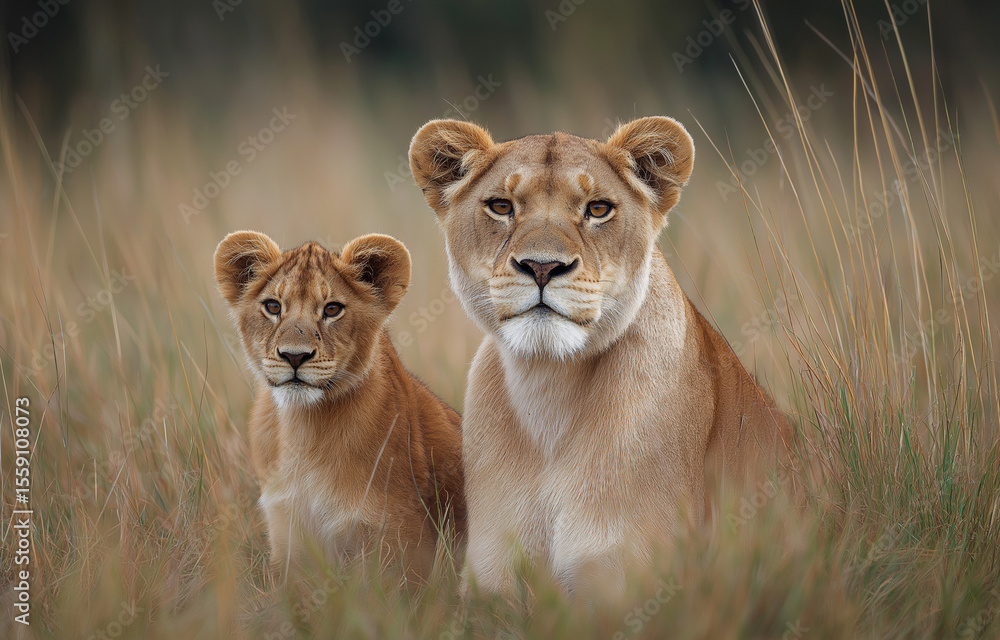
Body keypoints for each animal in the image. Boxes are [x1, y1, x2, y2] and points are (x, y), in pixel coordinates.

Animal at [213, 231, 465, 582]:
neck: (304, 428)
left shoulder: (400, 539)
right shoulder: (287, 531)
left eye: (332, 309)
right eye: (273, 306)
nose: (294, 356)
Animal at [408, 116, 791, 600]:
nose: (542, 267)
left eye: (598, 209)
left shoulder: (630, 578)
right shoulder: (490, 579)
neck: (548, 388)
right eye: (501, 206)